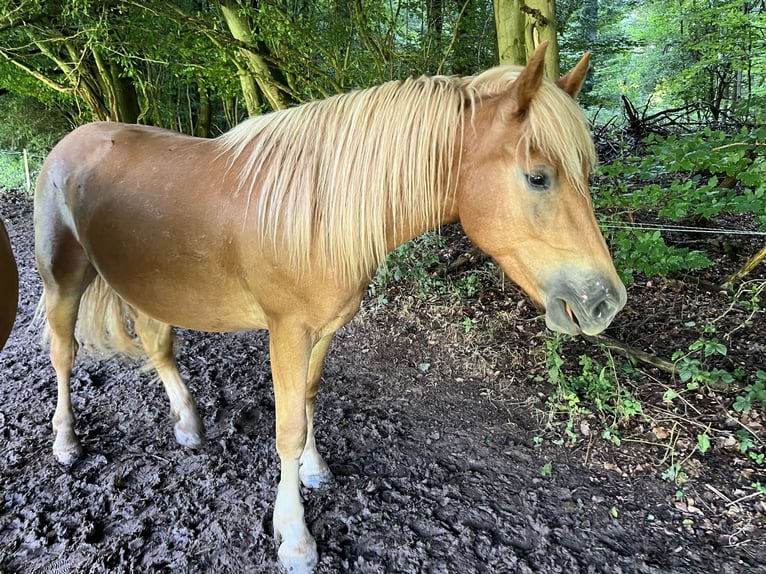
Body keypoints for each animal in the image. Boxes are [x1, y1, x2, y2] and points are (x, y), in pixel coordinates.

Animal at [33, 45, 628, 574]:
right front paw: (294, 536)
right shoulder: (286, 332)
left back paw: (187, 424)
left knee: (157, 344)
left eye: (587, 175)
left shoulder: (322, 329)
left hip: (148, 284)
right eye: (537, 176)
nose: (605, 302)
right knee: (62, 352)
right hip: (64, 279)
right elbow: (288, 426)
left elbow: (309, 399)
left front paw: (313, 469)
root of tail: (74, 140)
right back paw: (65, 441)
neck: (315, 213)